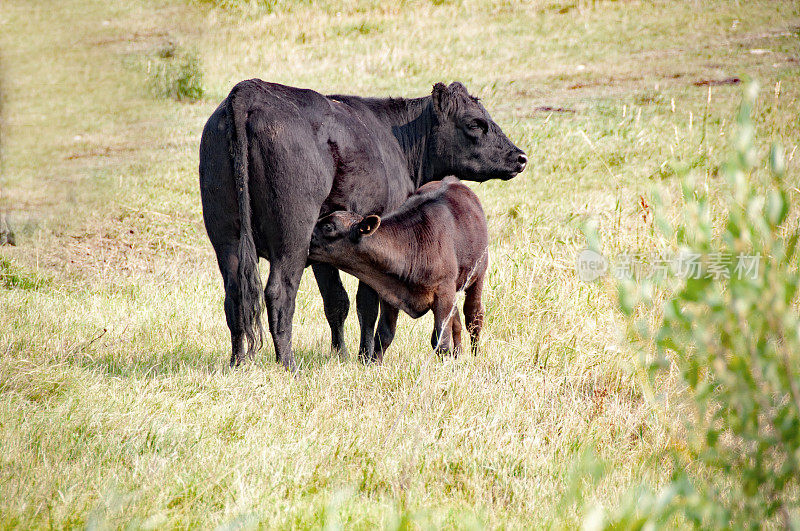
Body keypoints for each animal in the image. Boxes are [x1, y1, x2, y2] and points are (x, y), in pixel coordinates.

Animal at [198, 80, 524, 370]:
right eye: (475, 123)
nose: (520, 157)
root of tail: (248, 91)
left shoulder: (325, 249)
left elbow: (336, 301)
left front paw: (340, 354)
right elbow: (368, 302)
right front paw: (365, 356)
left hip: (225, 235)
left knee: (235, 295)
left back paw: (238, 362)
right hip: (292, 238)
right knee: (279, 293)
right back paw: (288, 364)